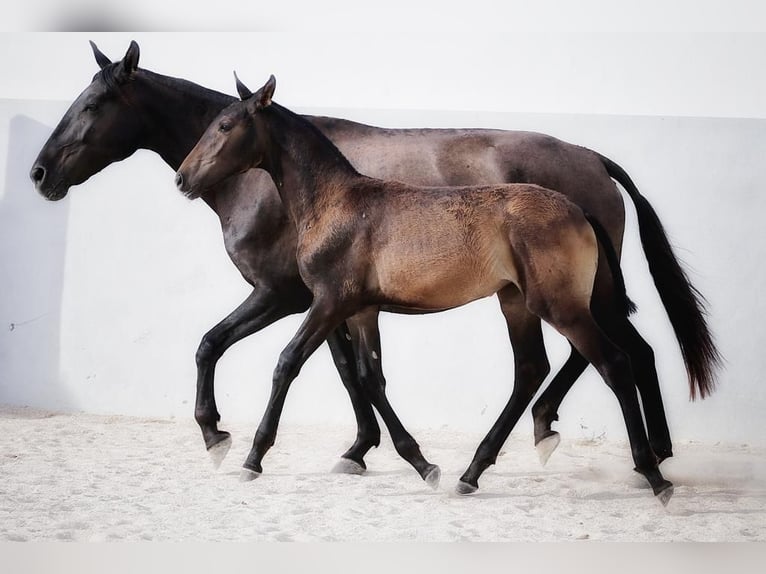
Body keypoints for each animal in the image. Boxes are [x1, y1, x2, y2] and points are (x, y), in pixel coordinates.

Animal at [180, 75, 688, 504]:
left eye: (225, 125)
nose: (182, 178)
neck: (337, 201)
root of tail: (580, 209)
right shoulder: (361, 310)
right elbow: (368, 375)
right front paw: (419, 464)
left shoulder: (327, 301)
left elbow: (287, 363)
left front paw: (249, 457)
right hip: (519, 304)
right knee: (533, 369)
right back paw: (472, 474)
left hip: (562, 307)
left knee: (614, 363)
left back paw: (654, 475)